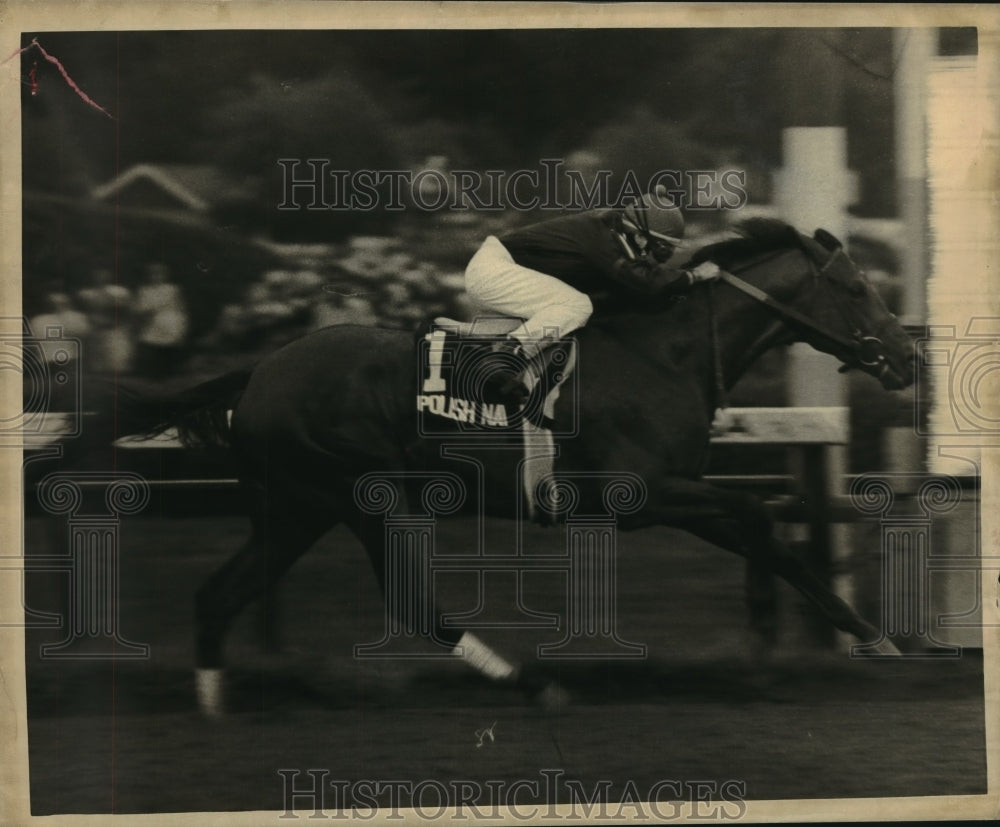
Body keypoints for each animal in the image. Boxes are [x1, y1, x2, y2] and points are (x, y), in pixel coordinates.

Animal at [99, 218, 916, 712]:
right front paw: (829, 635)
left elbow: (762, 528)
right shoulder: (645, 493)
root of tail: (261, 370)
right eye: (855, 288)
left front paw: (826, 639)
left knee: (219, 594)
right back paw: (532, 680)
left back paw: (213, 702)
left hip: (295, 507)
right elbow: (757, 515)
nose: (908, 357)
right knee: (409, 603)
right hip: (359, 495)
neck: (667, 351)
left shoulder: (675, 493)